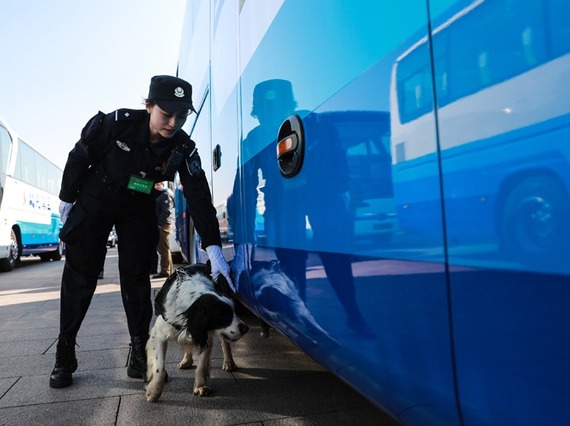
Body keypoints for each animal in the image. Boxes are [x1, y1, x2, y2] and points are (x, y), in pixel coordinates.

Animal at [144, 262, 246, 402]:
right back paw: (186, 360)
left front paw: (200, 386)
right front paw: (154, 391)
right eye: (224, 315)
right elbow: (159, 366)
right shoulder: (158, 334)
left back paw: (229, 363)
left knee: (225, 343)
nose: (246, 329)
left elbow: (201, 364)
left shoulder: (205, 335)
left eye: (234, 311)